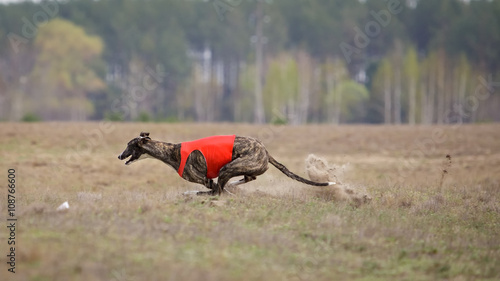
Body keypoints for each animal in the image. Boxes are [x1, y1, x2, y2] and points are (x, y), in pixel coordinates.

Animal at [117, 132, 336, 195]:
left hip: (229, 167)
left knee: (221, 189)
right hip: (239, 168)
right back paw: (234, 186)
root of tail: (265, 151)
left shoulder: (205, 180)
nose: (119, 156)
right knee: (247, 178)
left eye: (128, 145)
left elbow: (211, 189)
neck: (172, 151)